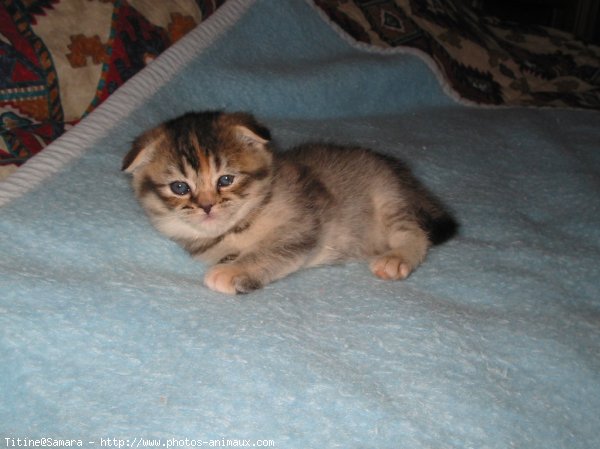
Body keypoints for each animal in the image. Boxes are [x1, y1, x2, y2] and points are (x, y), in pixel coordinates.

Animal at [124, 110, 458, 294]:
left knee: (415, 232)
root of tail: (398, 169)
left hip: (388, 196)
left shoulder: (304, 224)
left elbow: (271, 250)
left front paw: (233, 272)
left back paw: (397, 257)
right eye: (180, 187)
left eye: (226, 180)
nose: (207, 207)